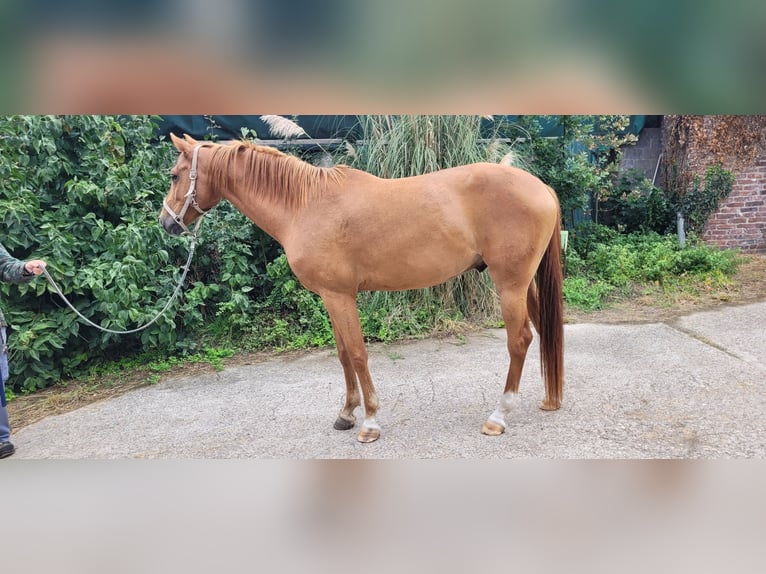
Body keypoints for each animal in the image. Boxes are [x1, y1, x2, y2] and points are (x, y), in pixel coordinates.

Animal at [160, 133, 564, 443]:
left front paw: (369, 422)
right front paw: (346, 413)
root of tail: (541, 186)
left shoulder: (340, 296)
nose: (167, 223)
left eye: (176, 175)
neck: (305, 205)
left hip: (509, 285)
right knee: (544, 331)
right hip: (524, 285)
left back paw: (498, 416)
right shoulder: (330, 297)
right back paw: (550, 399)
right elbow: (342, 355)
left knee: (520, 340)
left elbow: (357, 354)